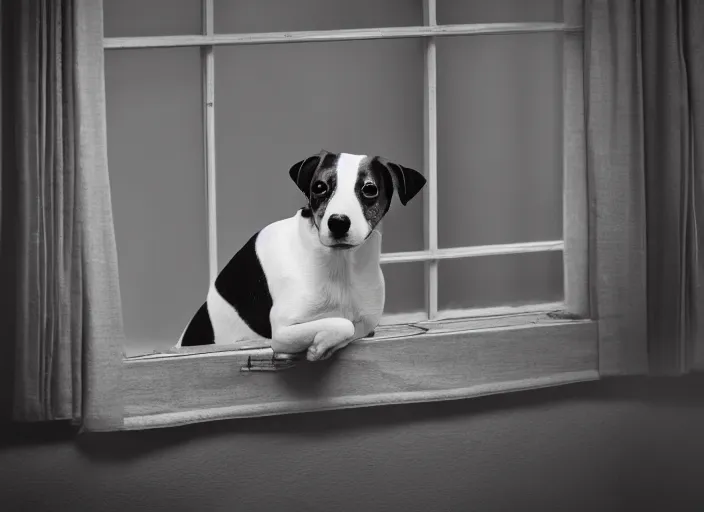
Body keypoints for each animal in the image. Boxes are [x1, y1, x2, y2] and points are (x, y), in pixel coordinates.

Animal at [176, 150, 428, 362]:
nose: (338, 222)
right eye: (319, 186)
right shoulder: (282, 331)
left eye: (369, 189)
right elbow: (343, 323)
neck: (339, 265)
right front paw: (320, 344)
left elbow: (351, 325)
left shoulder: (367, 323)